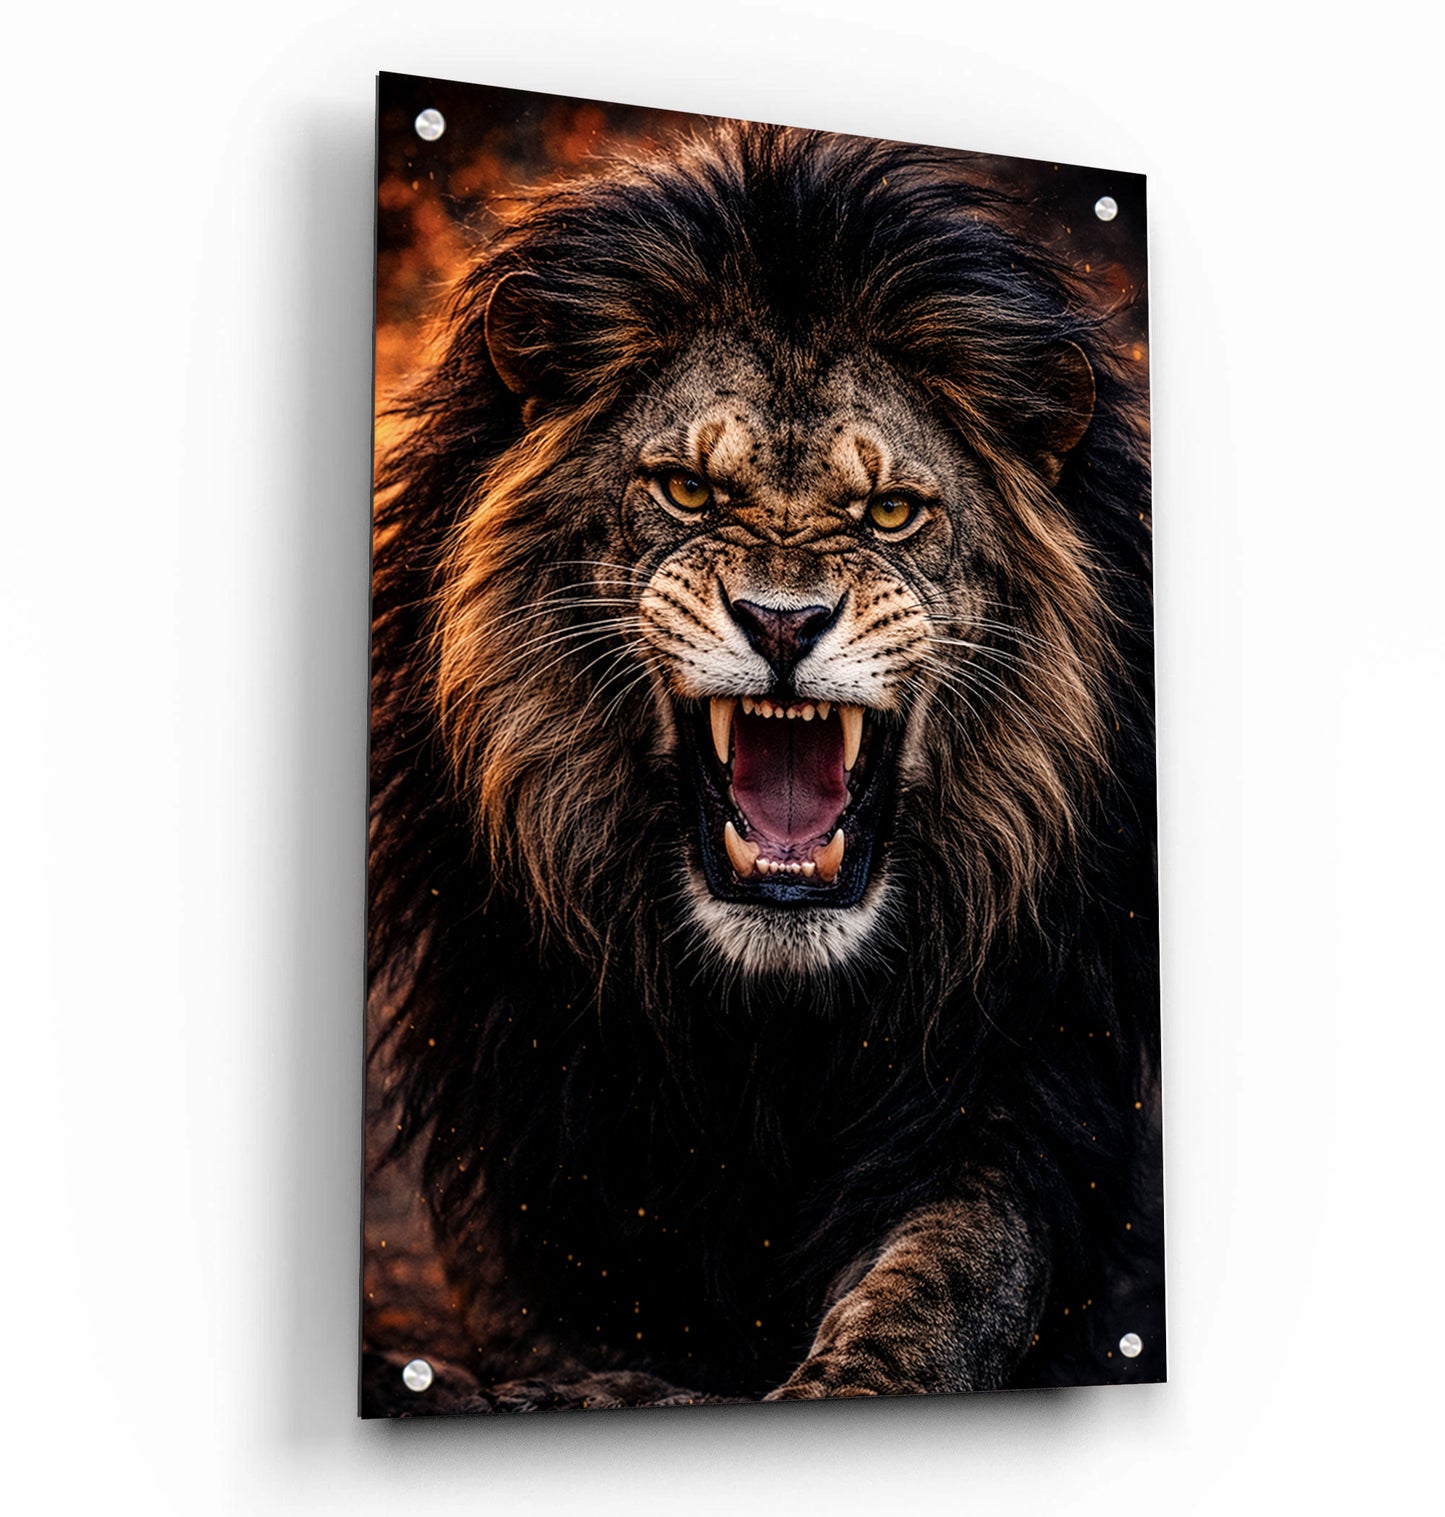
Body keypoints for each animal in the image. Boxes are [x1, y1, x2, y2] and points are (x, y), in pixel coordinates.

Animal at [366, 122, 1162, 1412]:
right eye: (687, 490)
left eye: (890, 511)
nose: (782, 622)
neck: (766, 1030)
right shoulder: (539, 1166)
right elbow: (569, 1335)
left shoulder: (1012, 1083)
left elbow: (952, 1272)